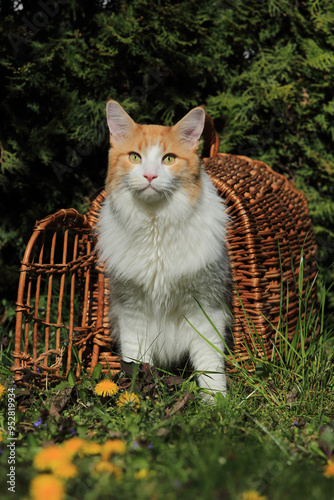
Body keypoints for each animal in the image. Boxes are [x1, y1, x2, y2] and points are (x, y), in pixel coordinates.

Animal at [97, 100, 232, 398]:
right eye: (135, 157)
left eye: (168, 159)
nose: (150, 175)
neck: (155, 224)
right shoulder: (132, 310)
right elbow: (136, 364)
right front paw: (134, 398)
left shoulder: (205, 308)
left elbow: (209, 365)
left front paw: (216, 402)